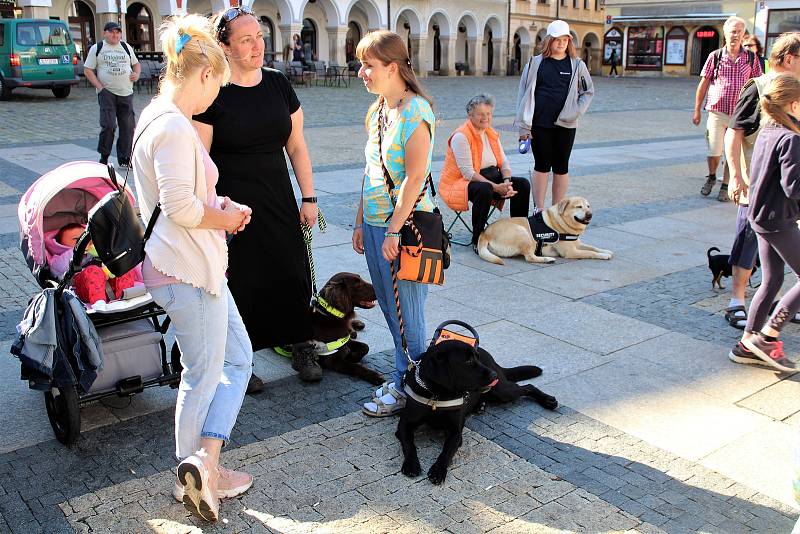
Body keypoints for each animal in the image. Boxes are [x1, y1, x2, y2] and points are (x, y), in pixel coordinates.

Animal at [396, 342, 560, 488]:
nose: (493, 374)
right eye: (468, 361)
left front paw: (438, 470)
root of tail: (494, 362)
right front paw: (411, 464)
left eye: (477, 358)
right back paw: (479, 406)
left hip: (502, 391)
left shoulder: (456, 433)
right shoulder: (404, 425)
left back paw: (548, 401)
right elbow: (409, 445)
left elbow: (446, 452)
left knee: (528, 387)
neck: (437, 396)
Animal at [476, 197, 612, 266]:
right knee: (529, 257)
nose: (590, 214)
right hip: (523, 233)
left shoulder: (577, 244)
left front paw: (605, 251)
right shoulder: (571, 251)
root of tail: (485, 233)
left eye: (588, 206)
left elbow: (593, 247)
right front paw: (604, 256)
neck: (561, 221)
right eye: (579, 206)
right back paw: (547, 259)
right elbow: (590, 253)